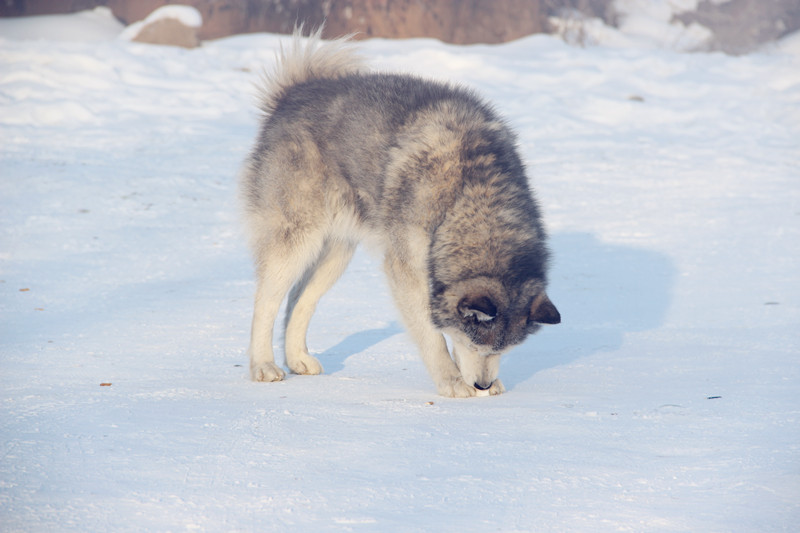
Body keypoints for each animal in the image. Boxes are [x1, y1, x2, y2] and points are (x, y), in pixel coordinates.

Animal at [241, 28, 560, 394]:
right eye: (475, 343)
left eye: (503, 350)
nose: (483, 384)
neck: (471, 191)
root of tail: (294, 92)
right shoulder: (408, 269)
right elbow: (432, 335)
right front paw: (451, 381)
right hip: (295, 240)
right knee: (266, 302)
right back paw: (263, 365)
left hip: (336, 252)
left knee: (299, 299)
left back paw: (297, 358)